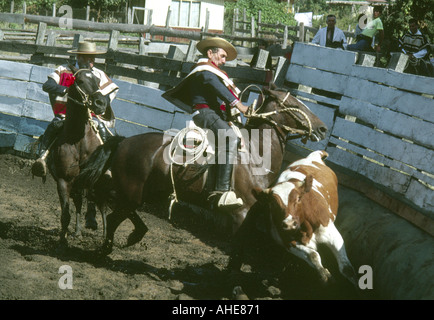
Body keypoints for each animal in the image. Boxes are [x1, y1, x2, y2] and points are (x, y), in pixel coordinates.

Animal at [47, 65, 110, 245]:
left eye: (98, 80)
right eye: (80, 81)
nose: (101, 103)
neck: (79, 141)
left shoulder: (94, 180)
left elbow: (100, 206)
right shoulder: (63, 181)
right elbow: (65, 214)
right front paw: (63, 240)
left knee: (98, 205)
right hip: (76, 185)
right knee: (78, 203)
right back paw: (77, 231)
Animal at [74, 85, 328, 255]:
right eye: (295, 105)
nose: (322, 128)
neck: (256, 154)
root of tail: (124, 141)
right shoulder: (241, 214)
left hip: (146, 192)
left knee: (117, 209)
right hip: (133, 193)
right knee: (114, 214)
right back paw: (107, 247)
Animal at [258, 150, 356, 284]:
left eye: (299, 198)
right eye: (272, 203)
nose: (289, 224)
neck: (306, 228)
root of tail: (314, 156)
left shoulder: (333, 235)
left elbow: (347, 269)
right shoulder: (288, 242)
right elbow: (313, 255)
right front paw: (324, 274)